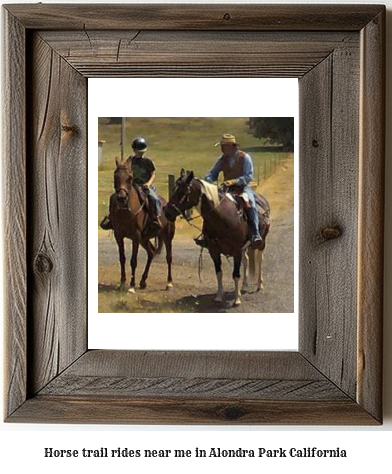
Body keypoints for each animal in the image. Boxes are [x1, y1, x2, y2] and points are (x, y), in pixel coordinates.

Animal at [107, 159, 175, 292]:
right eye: (115, 176)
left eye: (130, 178)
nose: (122, 198)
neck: (126, 211)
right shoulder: (119, 235)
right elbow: (122, 258)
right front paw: (122, 283)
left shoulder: (136, 236)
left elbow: (133, 261)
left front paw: (131, 286)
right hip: (144, 239)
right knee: (151, 252)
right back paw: (143, 281)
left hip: (167, 236)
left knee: (169, 257)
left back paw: (169, 283)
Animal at [165, 170, 270, 308]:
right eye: (174, 189)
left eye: (183, 191)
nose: (166, 212)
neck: (224, 217)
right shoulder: (214, 250)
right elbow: (219, 272)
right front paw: (219, 296)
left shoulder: (236, 251)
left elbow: (235, 274)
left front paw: (237, 299)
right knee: (246, 260)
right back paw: (244, 285)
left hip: (261, 243)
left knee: (260, 260)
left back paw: (260, 285)